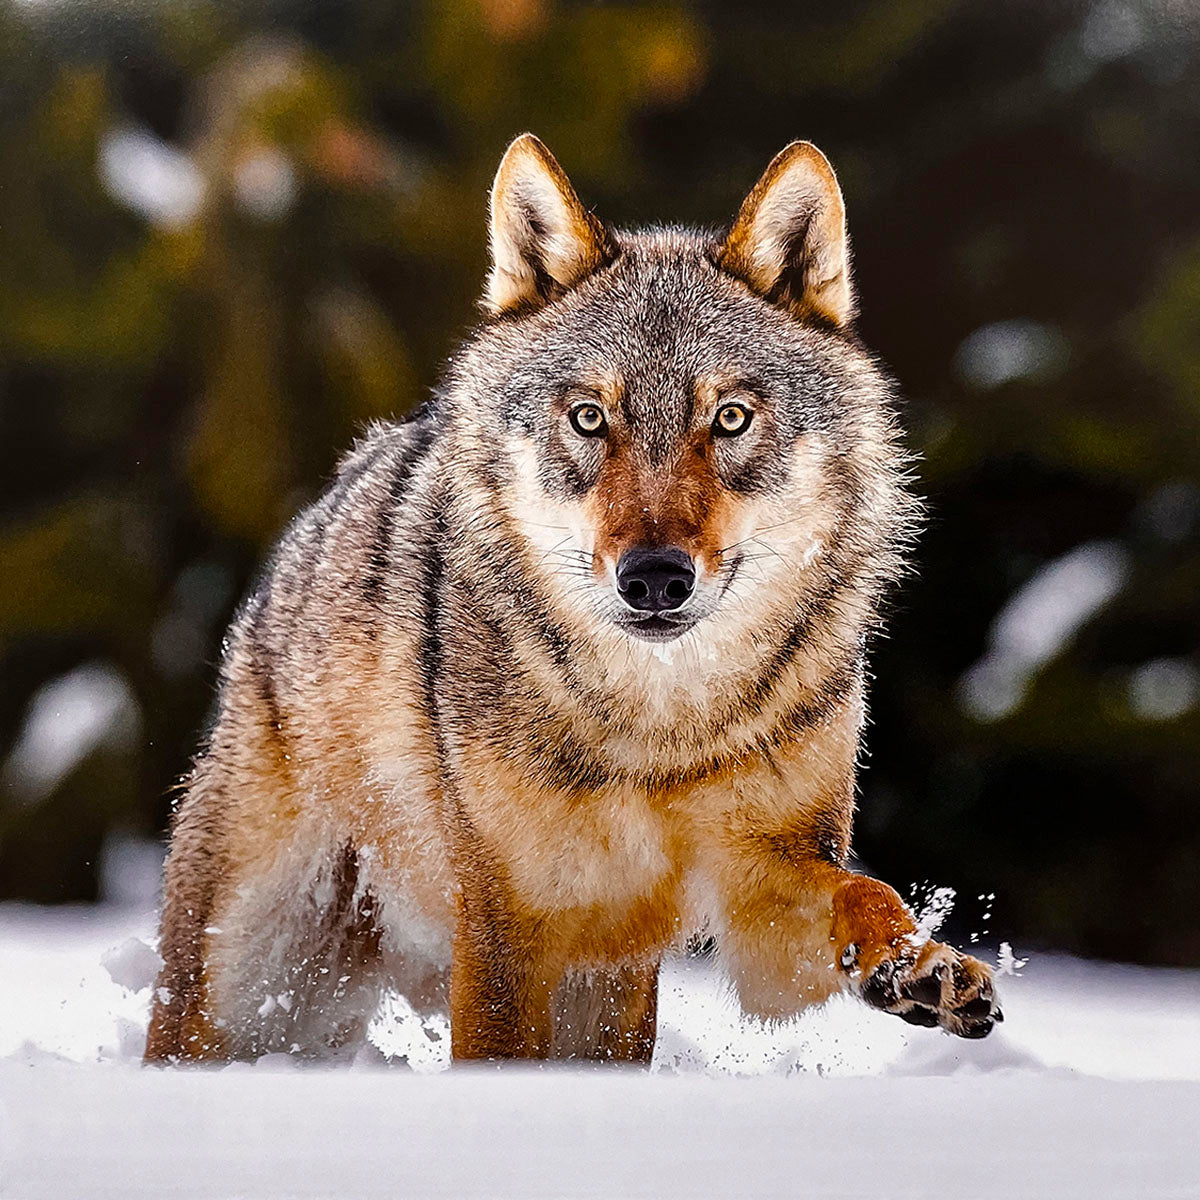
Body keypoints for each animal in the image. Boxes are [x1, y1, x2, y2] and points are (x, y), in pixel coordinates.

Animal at [145, 134, 1000, 1064]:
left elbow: (868, 892)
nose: (655, 576)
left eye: (730, 419)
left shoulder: (763, 890)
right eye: (591, 418)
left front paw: (920, 965)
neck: (660, 735)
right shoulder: (507, 923)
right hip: (244, 991)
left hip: (604, 989)